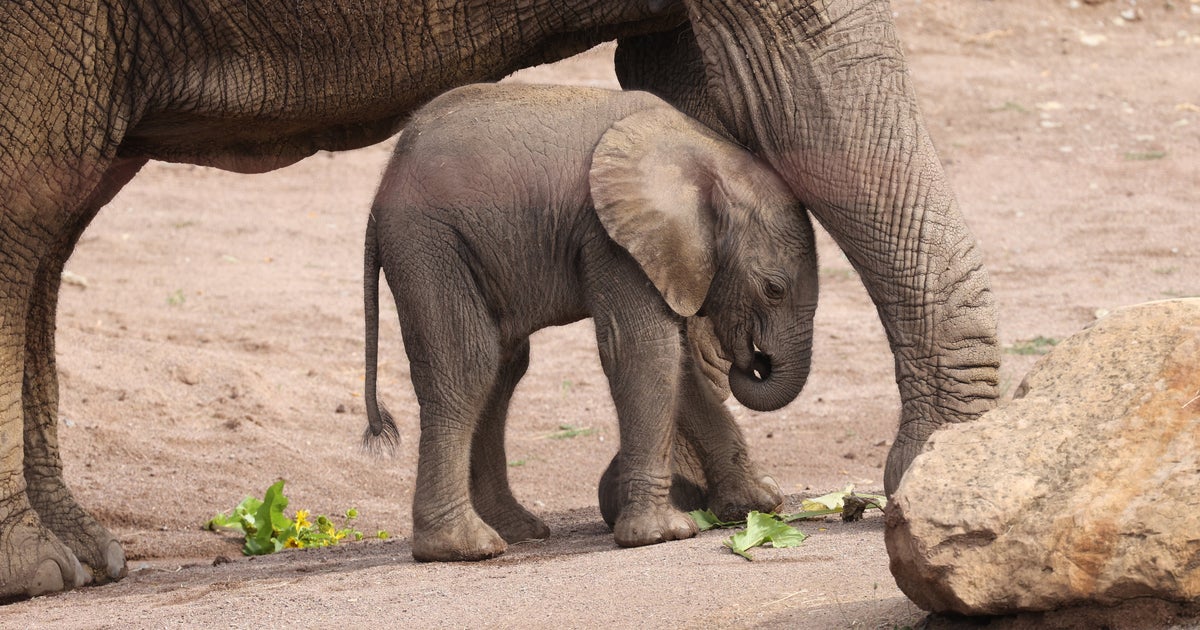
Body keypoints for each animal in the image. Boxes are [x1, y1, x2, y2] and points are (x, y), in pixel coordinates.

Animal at [361, 83, 816, 561]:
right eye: (774, 289)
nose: (753, 360)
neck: (706, 156)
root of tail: (381, 189)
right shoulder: (612, 238)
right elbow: (645, 349)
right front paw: (664, 534)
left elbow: (677, 359)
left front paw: (759, 504)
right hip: (429, 242)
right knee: (468, 366)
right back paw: (466, 547)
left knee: (503, 370)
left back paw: (519, 531)